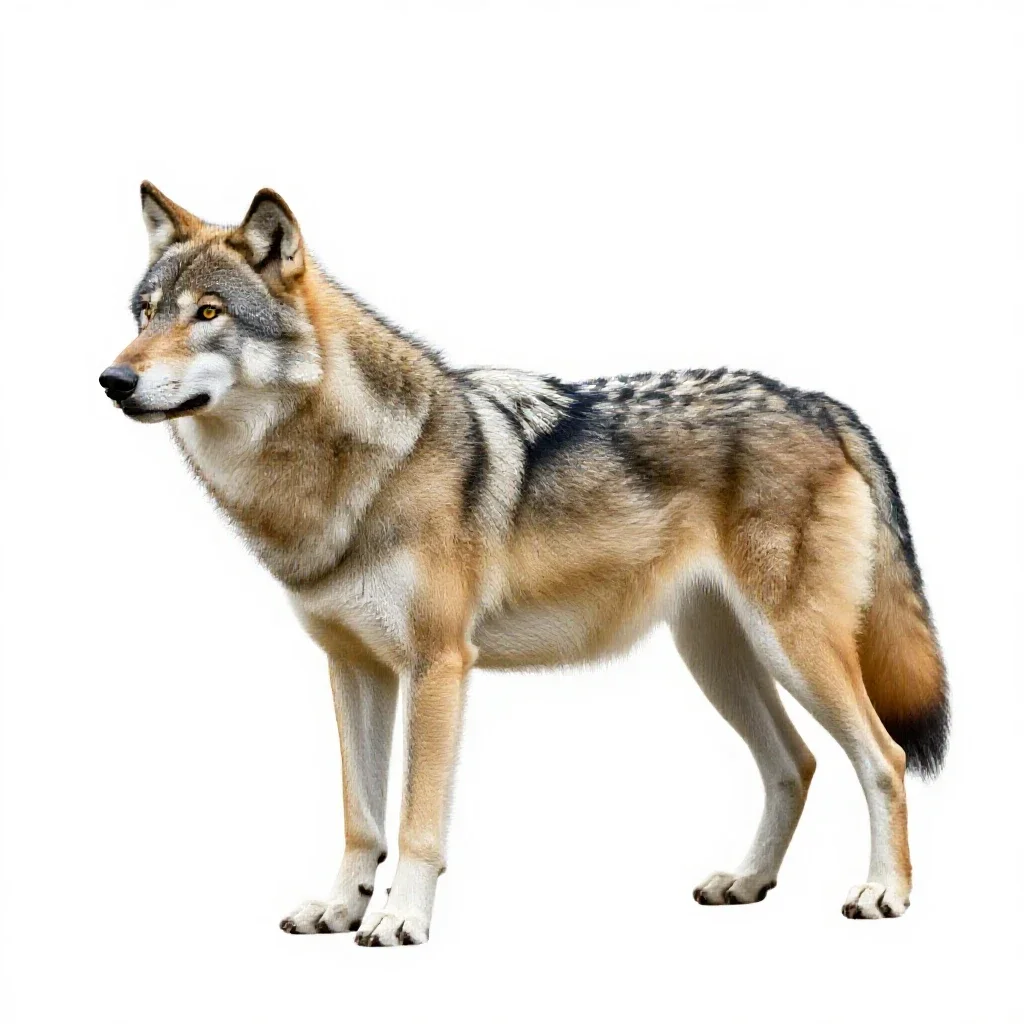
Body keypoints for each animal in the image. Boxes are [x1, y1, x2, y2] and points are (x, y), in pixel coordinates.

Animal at [100, 183, 948, 944]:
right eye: (145, 314)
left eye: (209, 314)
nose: (113, 380)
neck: (345, 469)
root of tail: (816, 401)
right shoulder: (354, 668)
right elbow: (360, 819)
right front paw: (340, 909)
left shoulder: (438, 665)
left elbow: (416, 820)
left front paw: (400, 919)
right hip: (719, 658)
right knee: (794, 763)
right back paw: (746, 881)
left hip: (793, 650)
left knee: (884, 756)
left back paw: (883, 893)